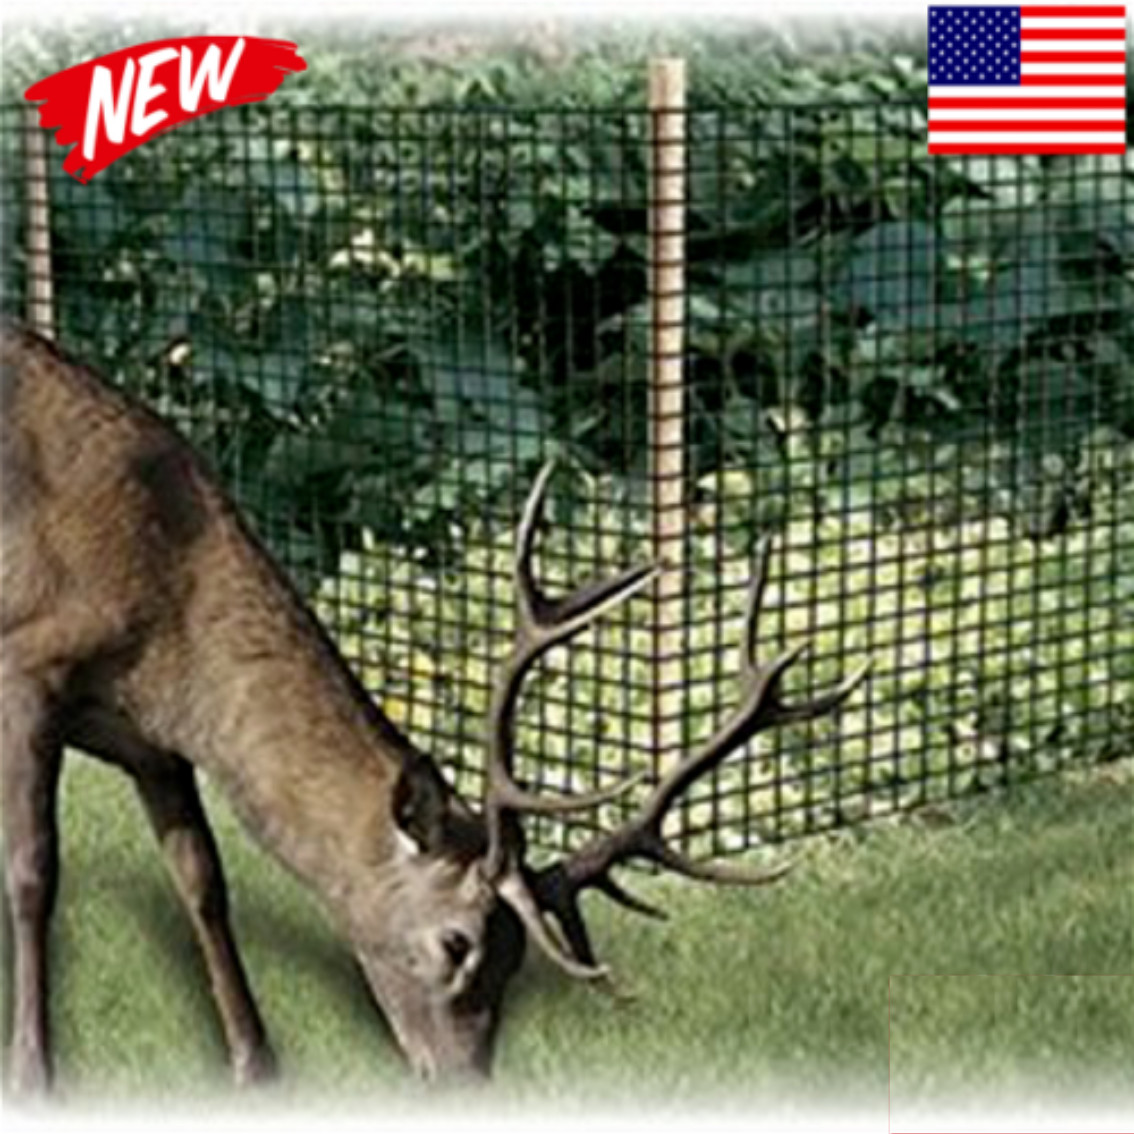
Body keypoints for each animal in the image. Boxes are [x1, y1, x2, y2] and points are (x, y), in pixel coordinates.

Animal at [0, 318, 868, 1095]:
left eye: (518, 960)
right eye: (457, 943)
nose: (464, 1081)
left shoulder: (152, 739)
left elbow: (203, 880)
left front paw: (256, 1066)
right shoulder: (28, 668)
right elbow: (35, 871)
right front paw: (35, 1073)